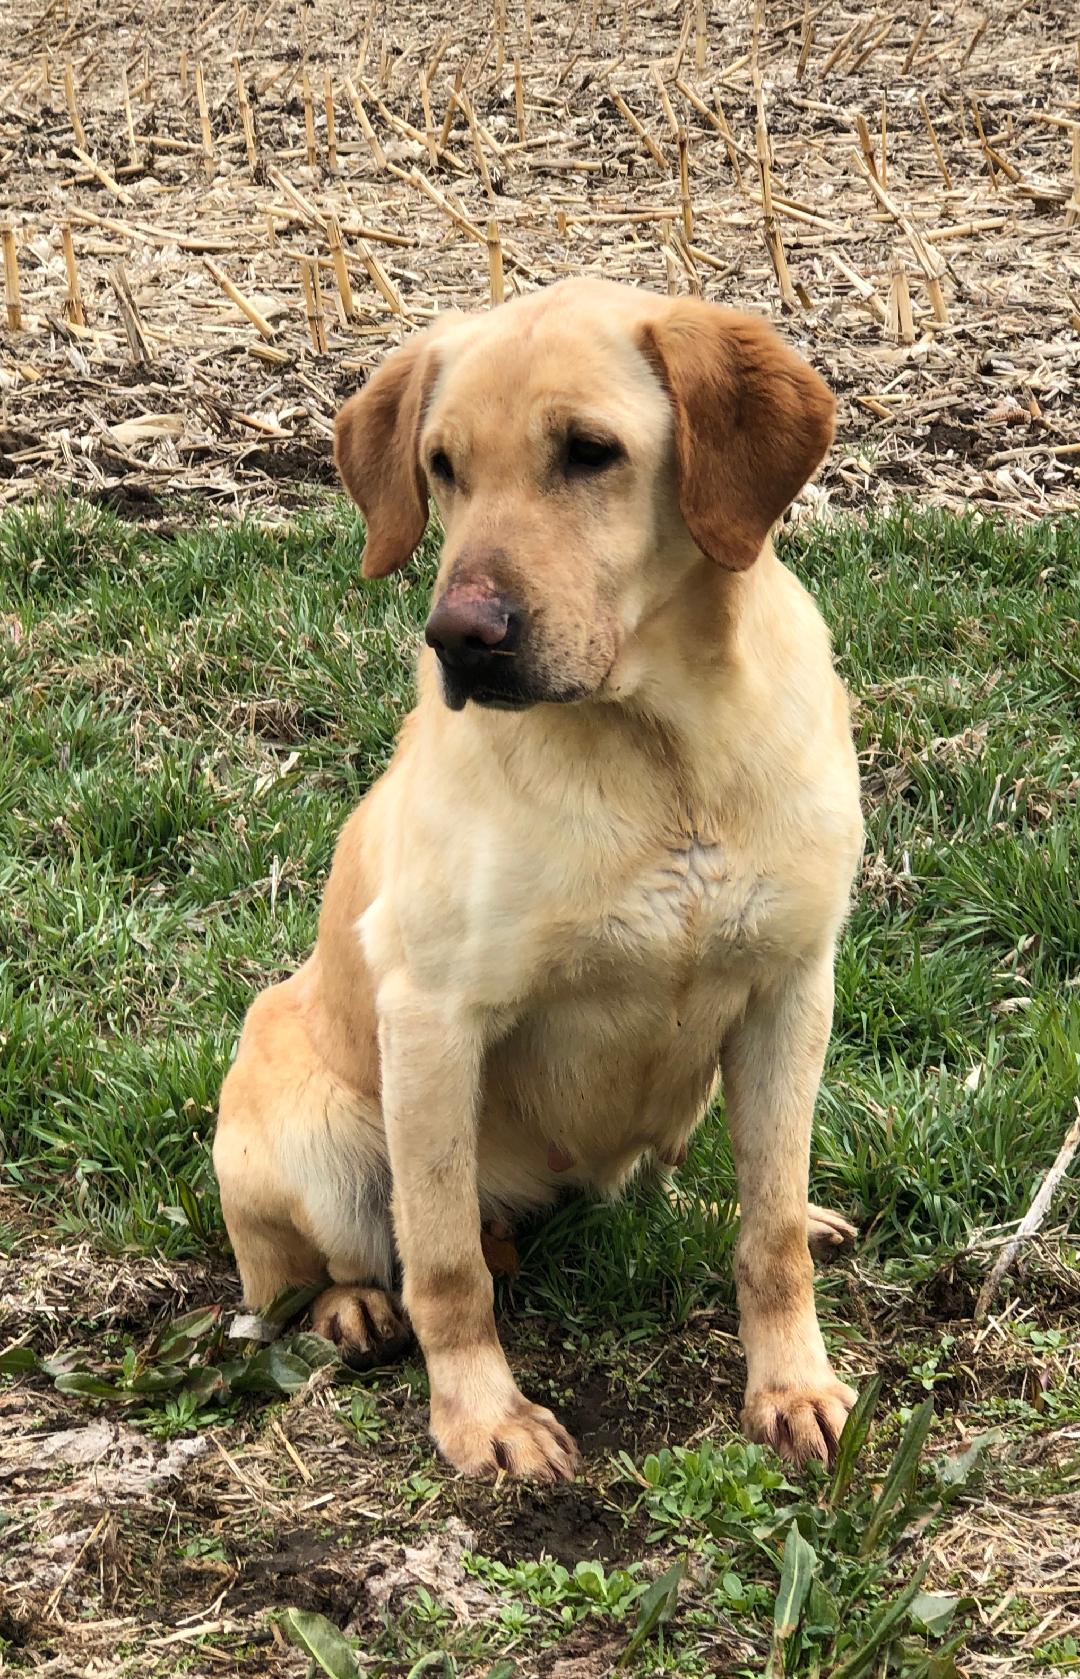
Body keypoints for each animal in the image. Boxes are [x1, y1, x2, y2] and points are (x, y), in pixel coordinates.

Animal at [214, 278, 866, 1484]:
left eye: (590, 452)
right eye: (442, 467)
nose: (460, 637)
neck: (663, 752)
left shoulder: (791, 987)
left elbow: (768, 1234)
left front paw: (791, 1383)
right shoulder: (434, 1017)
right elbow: (444, 1265)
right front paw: (484, 1417)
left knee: (710, 1185)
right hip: (310, 1135)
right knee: (319, 1268)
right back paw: (351, 1308)